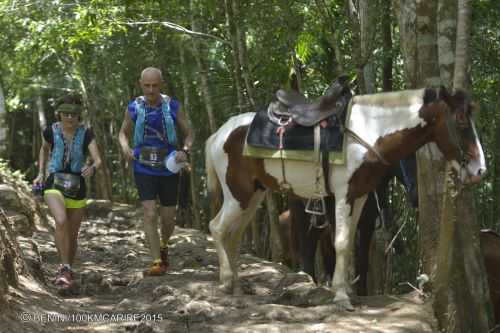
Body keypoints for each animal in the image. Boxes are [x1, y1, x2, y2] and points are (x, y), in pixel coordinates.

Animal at [205, 86, 486, 308]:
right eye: (461, 120)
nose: (479, 170)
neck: (367, 133)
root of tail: (217, 135)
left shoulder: (359, 197)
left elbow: (350, 243)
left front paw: (348, 290)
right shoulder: (342, 196)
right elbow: (340, 242)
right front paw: (341, 296)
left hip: (253, 196)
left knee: (233, 236)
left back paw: (238, 286)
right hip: (238, 195)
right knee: (216, 228)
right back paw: (226, 282)